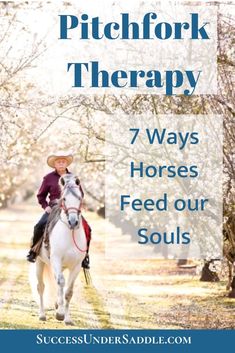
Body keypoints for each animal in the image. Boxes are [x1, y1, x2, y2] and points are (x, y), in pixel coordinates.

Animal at [34, 173, 86, 324]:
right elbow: (61, 282)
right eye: (64, 198)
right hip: (40, 262)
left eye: (80, 197)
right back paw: (42, 314)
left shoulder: (76, 265)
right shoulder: (56, 259)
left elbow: (68, 291)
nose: (73, 222)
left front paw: (67, 318)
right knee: (41, 287)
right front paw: (60, 313)